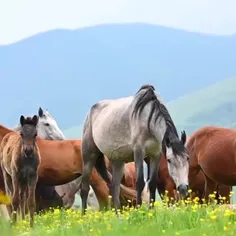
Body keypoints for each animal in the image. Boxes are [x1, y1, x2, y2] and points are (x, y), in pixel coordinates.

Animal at [80, 84, 189, 214]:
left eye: (188, 158)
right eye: (169, 160)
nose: (183, 188)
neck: (147, 117)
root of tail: (90, 112)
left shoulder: (155, 154)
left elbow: (152, 183)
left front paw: (151, 211)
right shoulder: (139, 152)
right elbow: (140, 182)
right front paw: (139, 210)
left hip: (117, 161)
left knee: (114, 187)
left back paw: (118, 215)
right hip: (89, 156)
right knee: (85, 188)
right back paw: (83, 215)